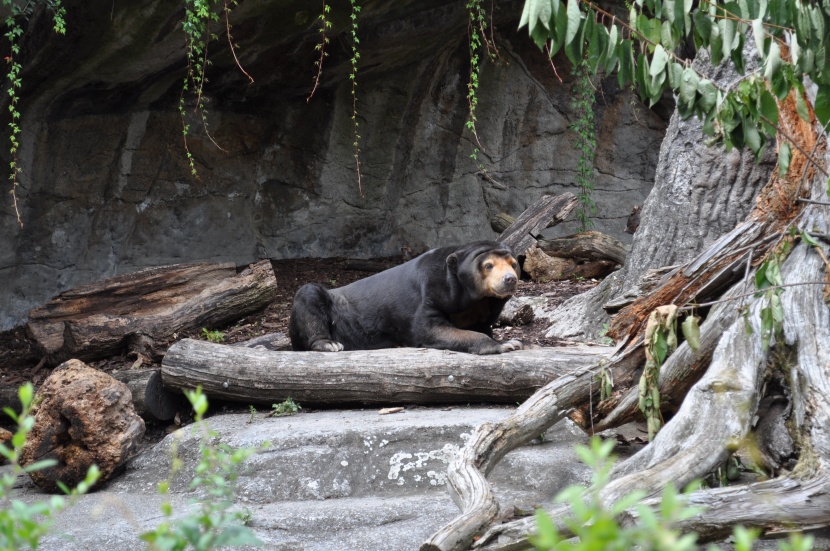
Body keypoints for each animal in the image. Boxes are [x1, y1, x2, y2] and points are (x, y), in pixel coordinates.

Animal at [290, 243, 528, 358]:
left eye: (513, 263)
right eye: (488, 265)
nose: (509, 280)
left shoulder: (482, 309)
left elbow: (481, 325)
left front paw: (509, 340)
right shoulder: (429, 293)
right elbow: (428, 330)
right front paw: (505, 344)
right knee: (309, 293)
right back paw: (328, 343)